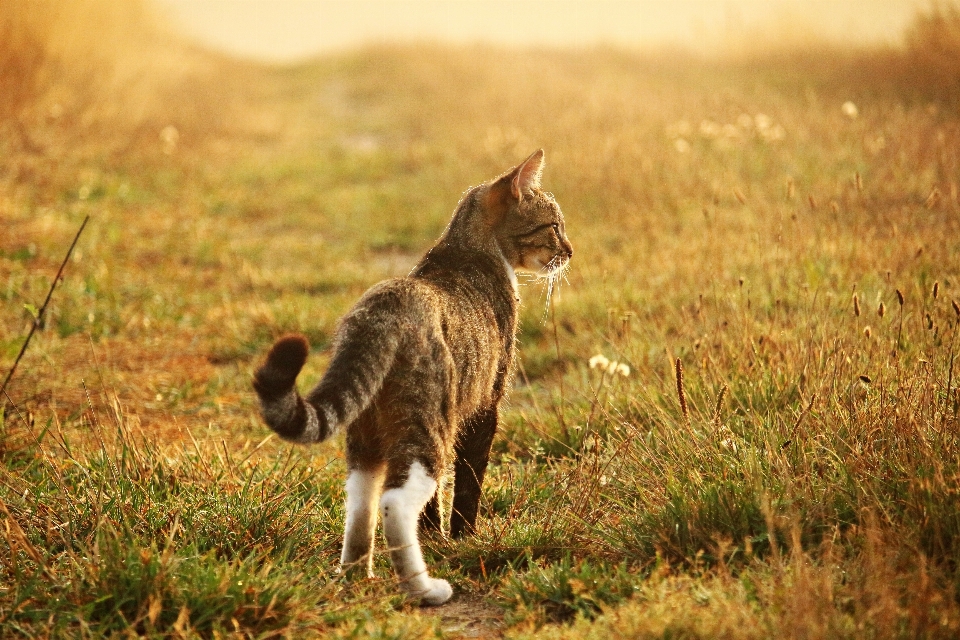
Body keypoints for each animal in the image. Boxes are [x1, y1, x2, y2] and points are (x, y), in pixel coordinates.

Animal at [251, 150, 572, 604]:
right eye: (554, 226)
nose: (570, 251)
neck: (469, 250)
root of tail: (382, 308)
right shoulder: (485, 405)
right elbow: (468, 483)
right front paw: (463, 539)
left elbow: (434, 504)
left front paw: (436, 536)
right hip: (428, 426)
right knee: (395, 503)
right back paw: (423, 588)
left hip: (368, 435)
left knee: (362, 502)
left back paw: (356, 577)